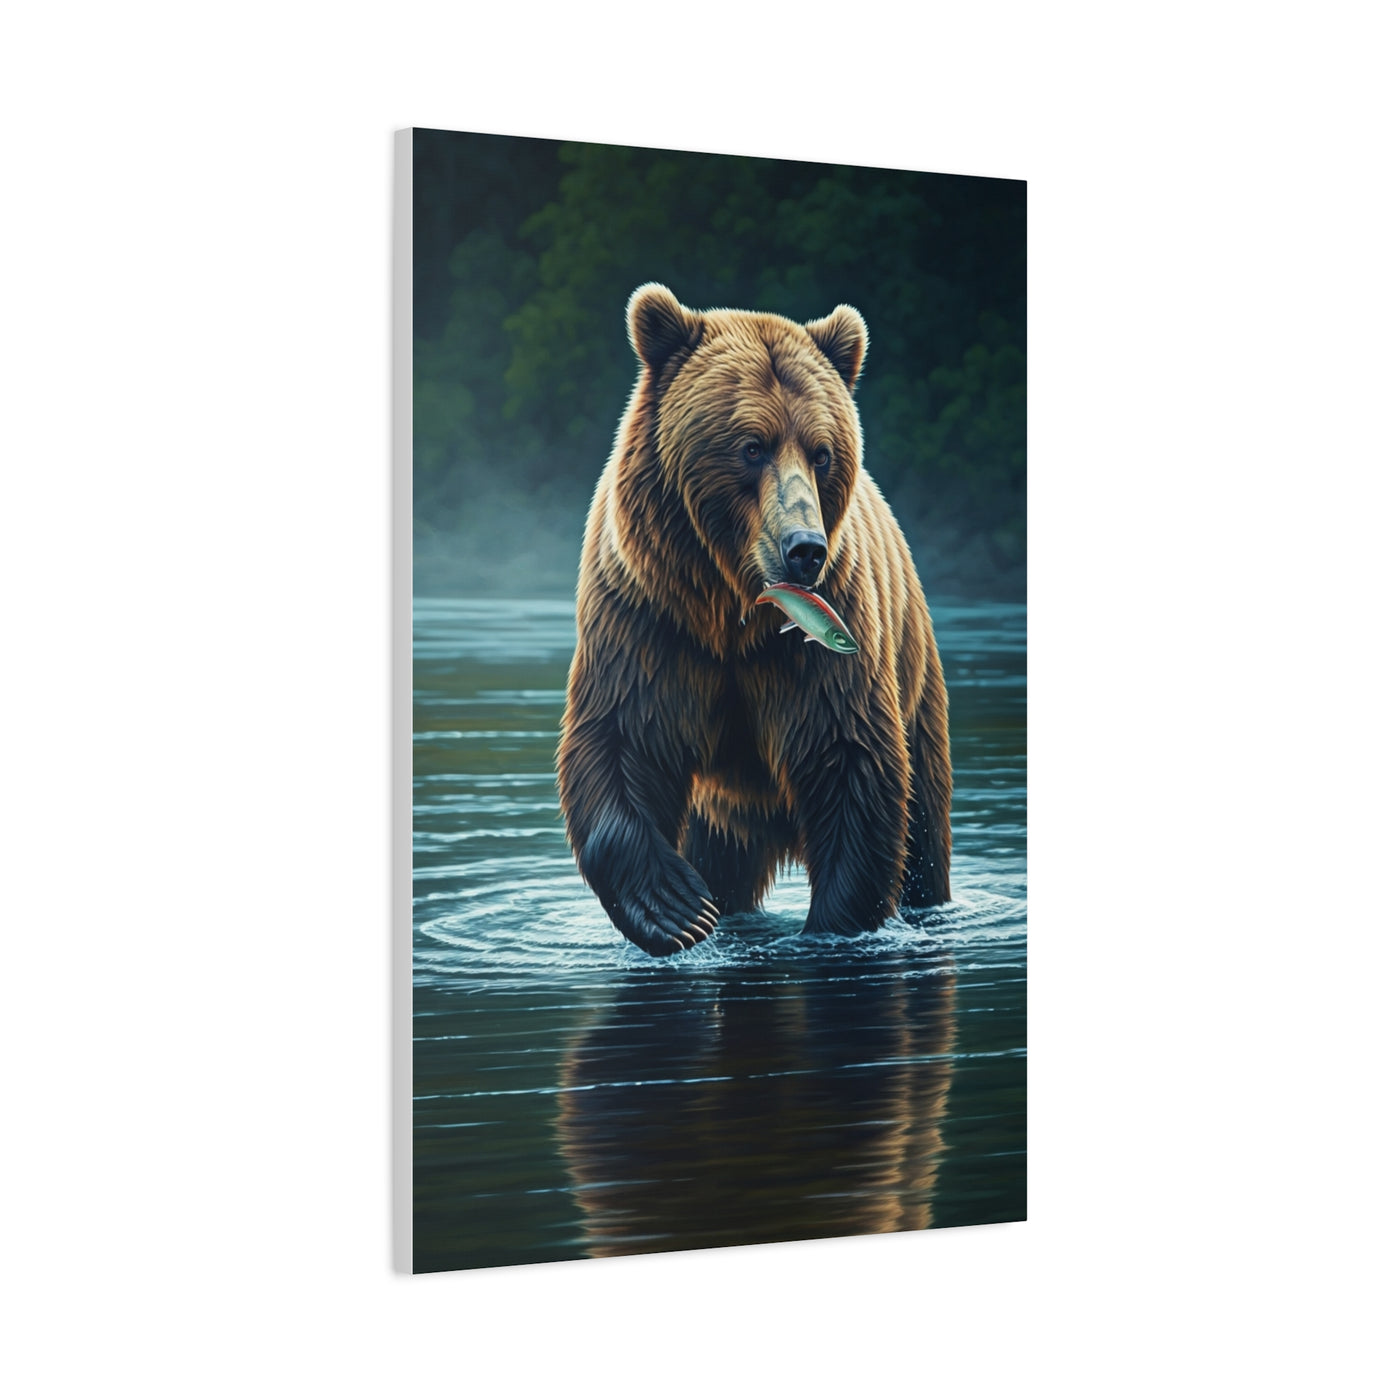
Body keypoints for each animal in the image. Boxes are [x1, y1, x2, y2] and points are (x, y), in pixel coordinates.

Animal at [556, 284, 952, 957]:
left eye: (822, 452)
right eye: (751, 445)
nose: (804, 549)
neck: (730, 608)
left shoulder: (821, 645)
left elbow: (851, 763)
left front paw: (833, 928)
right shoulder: (649, 617)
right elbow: (620, 738)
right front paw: (679, 909)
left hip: (914, 683)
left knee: (924, 828)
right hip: (723, 811)